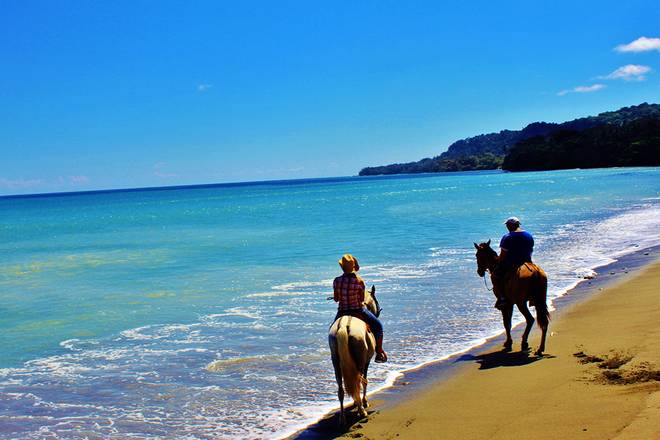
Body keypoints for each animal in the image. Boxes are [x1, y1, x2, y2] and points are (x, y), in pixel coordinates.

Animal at [328, 286, 382, 426]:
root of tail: (343, 327)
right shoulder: (367, 361)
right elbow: (365, 381)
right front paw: (364, 402)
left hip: (335, 361)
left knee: (341, 388)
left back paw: (342, 418)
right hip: (361, 359)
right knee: (359, 381)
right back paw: (362, 411)